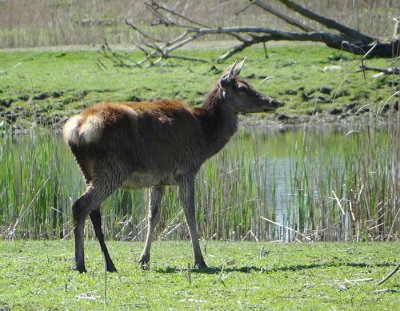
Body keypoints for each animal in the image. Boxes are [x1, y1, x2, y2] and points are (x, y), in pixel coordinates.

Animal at [62, 58, 282, 272]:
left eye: (248, 83)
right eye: (242, 88)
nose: (274, 102)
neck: (205, 138)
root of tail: (76, 130)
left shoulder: (158, 179)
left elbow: (152, 216)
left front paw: (144, 260)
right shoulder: (187, 170)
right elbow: (190, 213)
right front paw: (200, 260)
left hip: (88, 172)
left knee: (94, 212)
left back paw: (108, 263)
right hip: (113, 169)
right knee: (80, 205)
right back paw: (80, 263)